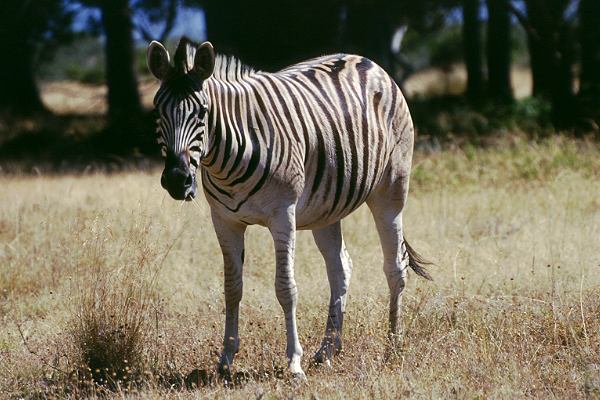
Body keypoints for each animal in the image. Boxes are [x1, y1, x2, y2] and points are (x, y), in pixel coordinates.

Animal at [147, 37, 428, 382]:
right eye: (157, 111)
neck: (229, 154)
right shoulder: (224, 221)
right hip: (327, 208)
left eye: (202, 113)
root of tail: (364, 60)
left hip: (391, 190)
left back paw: (392, 349)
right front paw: (225, 360)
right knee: (341, 268)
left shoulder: (283, 215)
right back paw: (327, 350)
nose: (177, 180)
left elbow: (285, 287)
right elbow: (232, 288)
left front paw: (294, 362)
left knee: (395, 267)